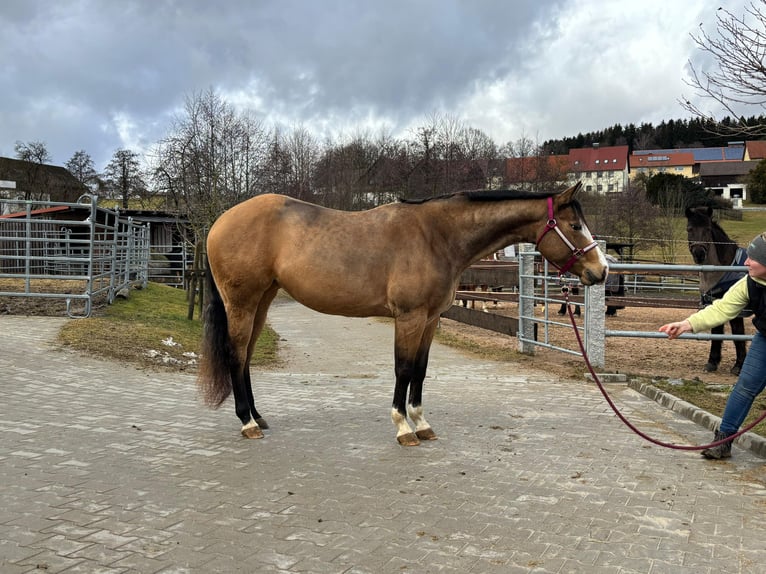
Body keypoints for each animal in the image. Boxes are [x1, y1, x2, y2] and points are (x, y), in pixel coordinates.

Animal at [197, 182, 608, 446]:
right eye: (575, 225)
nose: (601, 271)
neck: (437, 236)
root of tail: (219, 222)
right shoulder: (409, 317)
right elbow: (403, 368)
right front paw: (403, 428)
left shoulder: (430, 319)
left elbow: (420, 370)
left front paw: (421, 423)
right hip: (243, 302)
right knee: (236, 355)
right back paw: (247, 423)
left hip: (263, 299)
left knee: (246, 356)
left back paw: (258, 417)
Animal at [685, 205, 749, 375]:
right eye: (689, 229)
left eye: (707, 229)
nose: (699, 254)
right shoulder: (713, 303)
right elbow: (716, 332)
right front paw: (712, 362)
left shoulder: (736, 309)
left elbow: (738, 334)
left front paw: (739, 365)